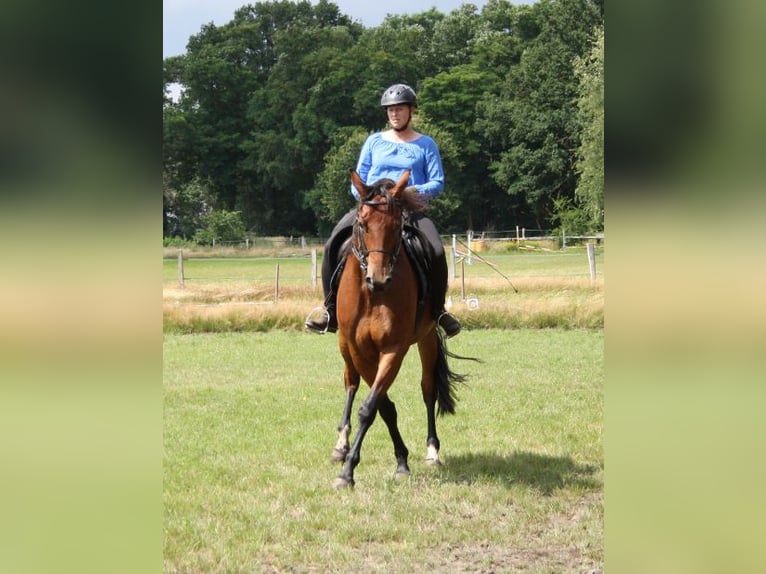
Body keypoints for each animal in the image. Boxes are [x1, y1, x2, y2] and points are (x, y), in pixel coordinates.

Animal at [328, 169, 468, 488]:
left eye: (396, 227)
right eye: (363, 224)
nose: (378, 278)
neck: (372, 296)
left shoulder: (394, 349)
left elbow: (372, 407)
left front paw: (350, 472)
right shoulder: (359, 350)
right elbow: (381, 405)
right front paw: (396, 459)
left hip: (427, 338)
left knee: (428, 389)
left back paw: (432, 451)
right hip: (344, 345)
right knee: (350, 383)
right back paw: (341, 444)